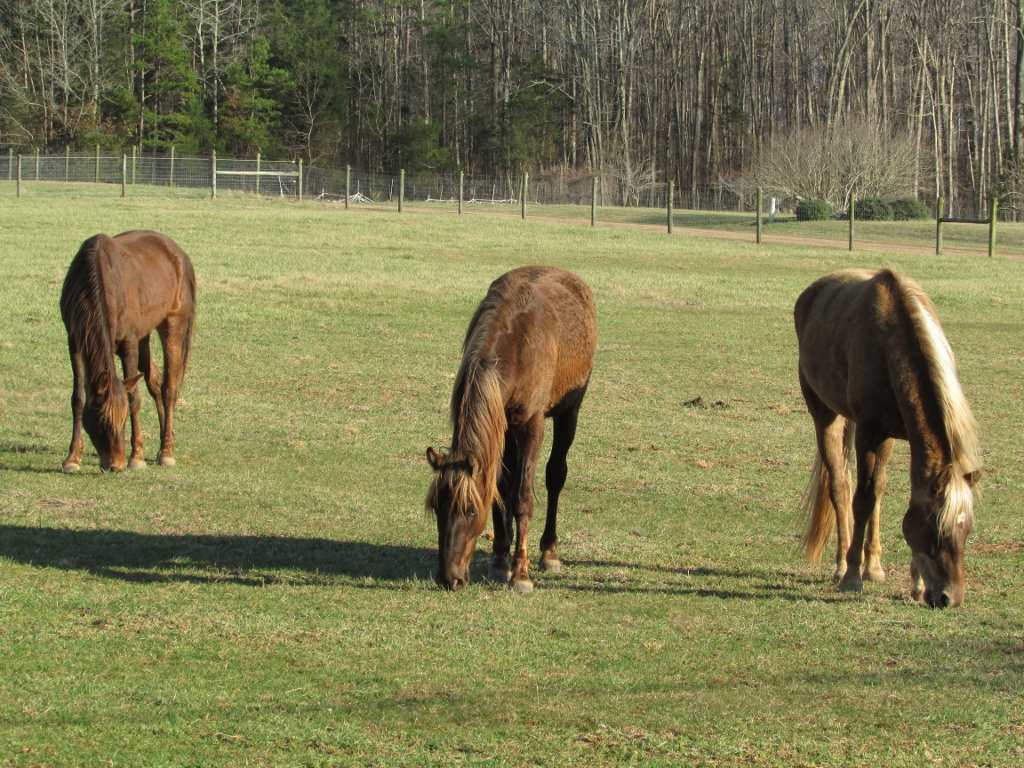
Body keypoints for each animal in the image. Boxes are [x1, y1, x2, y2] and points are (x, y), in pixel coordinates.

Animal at [60, 230, 196, 473]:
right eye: (101, 419)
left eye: (123, 419)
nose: (116, 465)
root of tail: (179, 254)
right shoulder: (75, 341)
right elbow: (78, 398)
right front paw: (72, 458)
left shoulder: (128, 344)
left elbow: (134, 398)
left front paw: (137, 457)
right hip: (144, 336)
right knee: (155, 381)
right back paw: (166, 438)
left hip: (173, 324)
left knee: (169, 387)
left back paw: (167, 452)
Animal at [425, 266, 597, 592]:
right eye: (438, 508)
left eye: (469, 510)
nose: (449, 578)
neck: (516, 344)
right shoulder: (500, 427)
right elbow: (500, 489)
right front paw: (501, 561)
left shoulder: (532, 425)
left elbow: (522, 498)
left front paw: (520, 574)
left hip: (569, 412)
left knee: (556, 475)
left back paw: (549, 552)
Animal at [794, 268, 980, 608]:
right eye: (935, 529)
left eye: (967, 530)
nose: (950, 597)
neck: (890, 345)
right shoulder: (871, 432)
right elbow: (862, 500)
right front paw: (852, 576)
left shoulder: (897, 435)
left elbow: (886, 493)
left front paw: (912, 584)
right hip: (825, 415)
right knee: (840, 487)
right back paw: (840, 565)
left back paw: (874, 567)